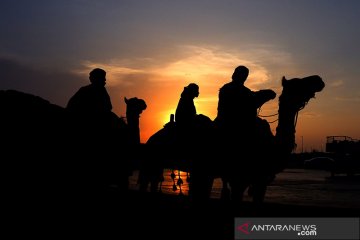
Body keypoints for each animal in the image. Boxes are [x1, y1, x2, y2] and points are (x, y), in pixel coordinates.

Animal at [138, 75, 324, 204]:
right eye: (298, 83)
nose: (318, 80)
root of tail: (151, 139)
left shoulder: (260, 180)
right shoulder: (238, 178)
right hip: (152, 161)